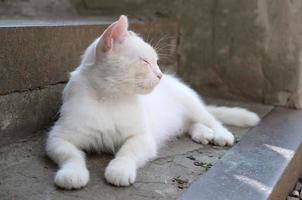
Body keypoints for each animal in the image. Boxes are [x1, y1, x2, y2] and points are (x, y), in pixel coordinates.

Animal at [46, 15, 260, 189]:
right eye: (145, 62)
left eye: (156, 62)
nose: (160, 75)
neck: (110, 98)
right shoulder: (57, 137)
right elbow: (70, 155)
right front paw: (72, 173)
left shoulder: (142, 137)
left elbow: (127, 152)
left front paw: (119, 170)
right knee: (189, 124)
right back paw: (202, 133)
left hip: (191, 104)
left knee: (211, 120)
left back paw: (220, 134)